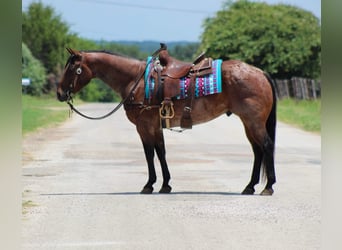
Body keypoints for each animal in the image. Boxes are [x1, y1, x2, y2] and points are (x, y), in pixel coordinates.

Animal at [55, 46, 276, 195]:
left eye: (72, 69)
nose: (59, 93)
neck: (136, 80)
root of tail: (260, 73)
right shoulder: (155, 127)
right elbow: (160, 153)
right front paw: (165, 184)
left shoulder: (144, 127)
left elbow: (149, 154)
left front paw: (149, 184)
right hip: (248, 123)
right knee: (257, 150)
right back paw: (250, 186)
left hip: (254, 122)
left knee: (266, 146)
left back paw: (268, 187)